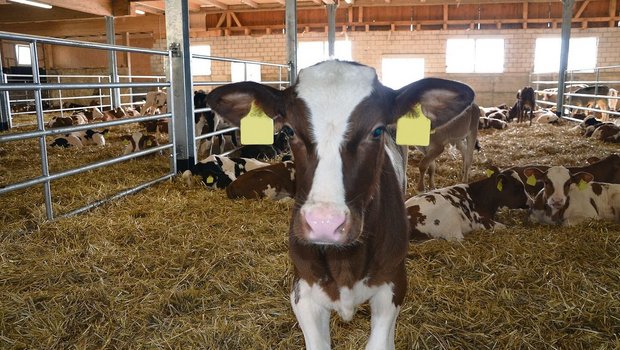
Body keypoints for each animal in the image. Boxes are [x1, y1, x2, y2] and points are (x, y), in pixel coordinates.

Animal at [207, 60, 474, 350]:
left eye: (377, 130)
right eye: (288, 130)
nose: (324, 223)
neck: (345, 261)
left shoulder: (394, 282)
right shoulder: (302, 290)